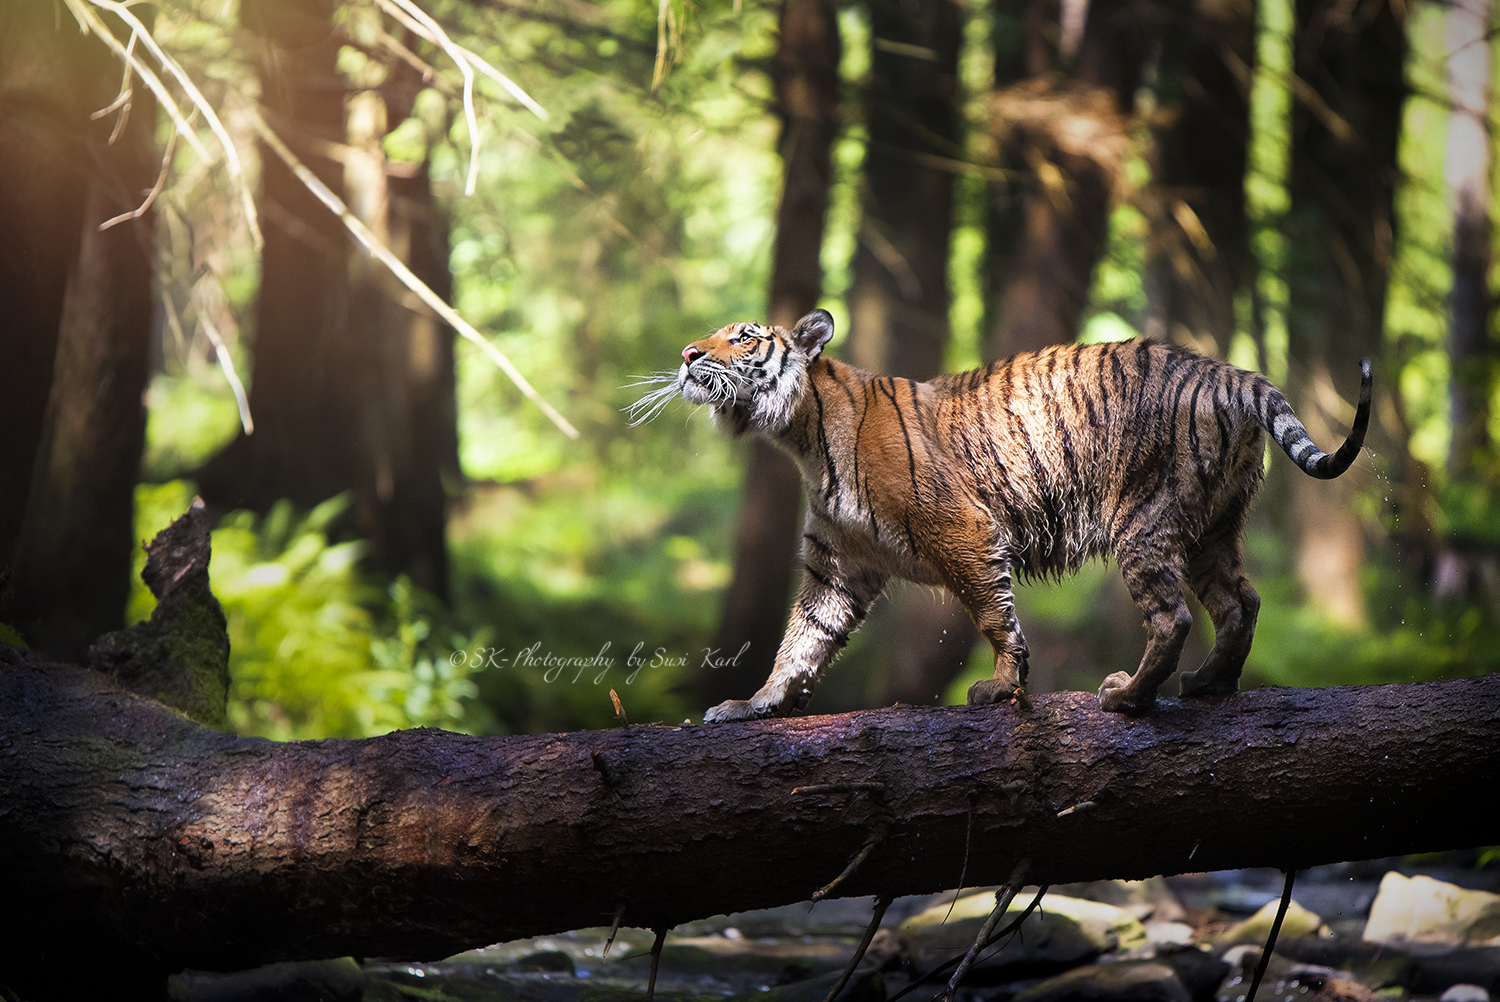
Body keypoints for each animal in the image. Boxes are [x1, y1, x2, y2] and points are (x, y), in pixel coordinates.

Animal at [633, 307, 1374, 720]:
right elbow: (802, 640)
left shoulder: (959, 528)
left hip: (1144, 520)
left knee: (1175, 616)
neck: (801, 438)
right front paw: (755, 704)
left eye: (744, 338)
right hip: (1212, 528)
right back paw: (1210, 683)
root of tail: (1231, 373)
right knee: (1240, 602)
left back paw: (1126, 696)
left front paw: (999, 689)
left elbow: (994, 615)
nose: (687, 355)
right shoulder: (837, 564)